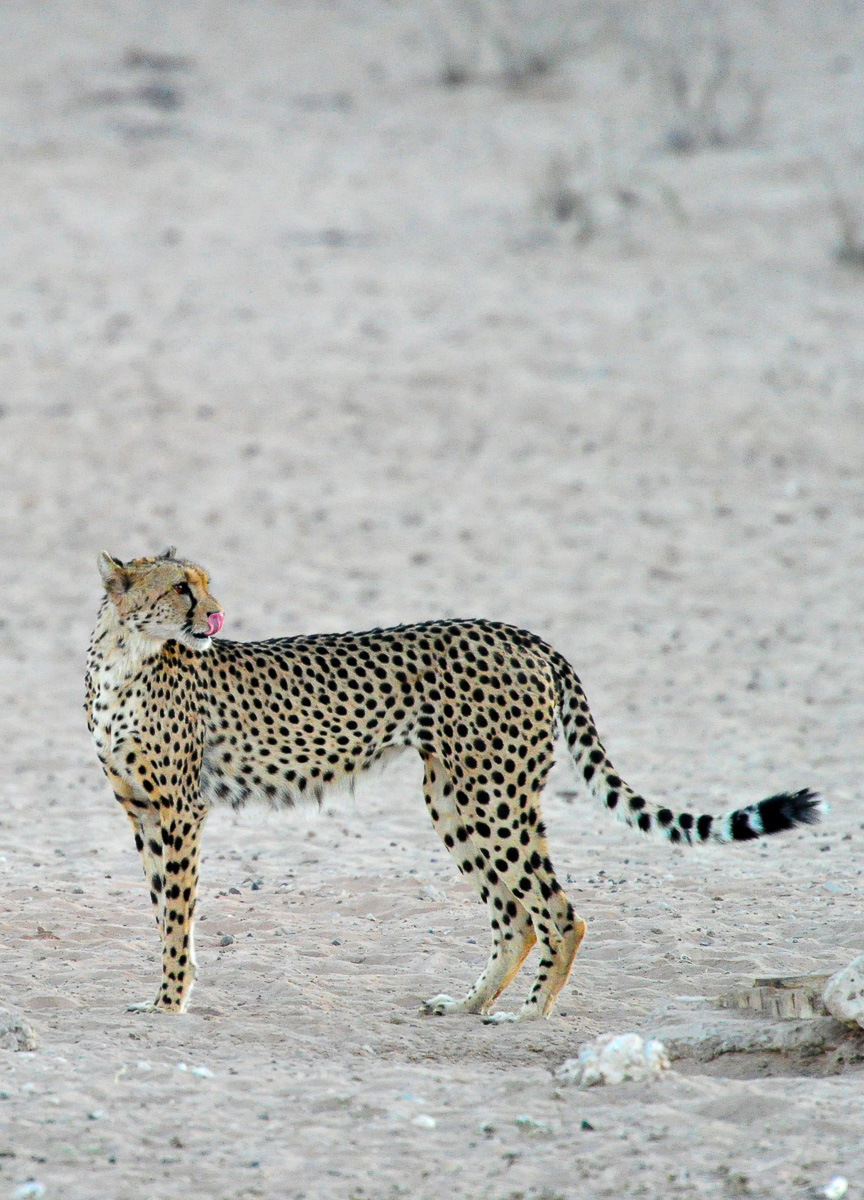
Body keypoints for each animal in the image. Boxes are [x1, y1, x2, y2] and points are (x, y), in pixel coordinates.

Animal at [85, 548, 822, 1021]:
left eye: (203, 584)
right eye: (181, 587)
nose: (214, 616)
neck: (123, 658)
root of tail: (523, 635)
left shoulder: (180, 811)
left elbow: (176, 914)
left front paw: (170, 1002)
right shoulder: (142, 813)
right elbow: (163, 910)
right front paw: (167, 992)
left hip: (491, 796)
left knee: (559, 913)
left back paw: (526, 1015)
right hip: (454, 798)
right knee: (517, 916)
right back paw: (469, 1003)